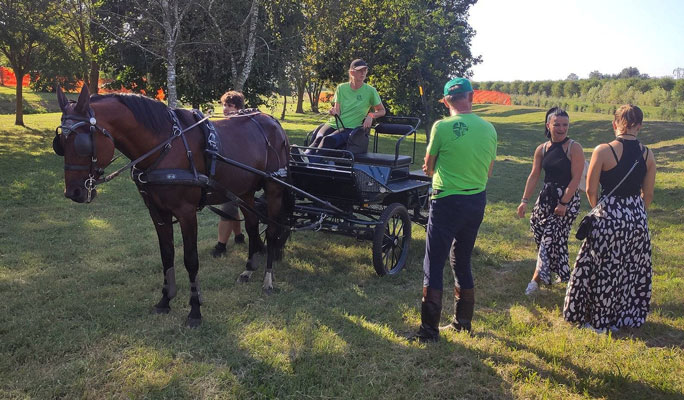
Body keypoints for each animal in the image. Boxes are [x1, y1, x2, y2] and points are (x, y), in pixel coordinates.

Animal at [52, 86, 290, 326]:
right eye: (60, 143)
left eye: (82, 143)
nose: (73, 192)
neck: (164, 147)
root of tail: (273, 122)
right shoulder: (157, 212)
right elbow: (166, 254)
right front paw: (165, 300)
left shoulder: (186, 212)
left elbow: (191, 260)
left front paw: (195, 310)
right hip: (245, 192)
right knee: (252, 225)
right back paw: (249, 269)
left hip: (274, 190)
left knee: (272, 232)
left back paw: (268, 279)